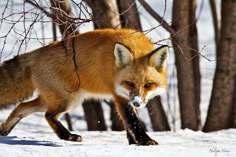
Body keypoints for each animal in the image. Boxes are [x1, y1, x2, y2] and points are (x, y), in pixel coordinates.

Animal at [0, 28, 168, 145]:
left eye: (148, 85)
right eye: (130, 83)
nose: (137, 103)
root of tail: (37, 52)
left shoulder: (125, 97)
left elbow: (129, 123)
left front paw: (134, 142)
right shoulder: (120, 96)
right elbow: (133, 121)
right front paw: (145, 141)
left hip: (52, 99)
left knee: (21, 107)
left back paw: (4, 130)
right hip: (68, 100)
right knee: (49, 115)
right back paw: (68, 136)